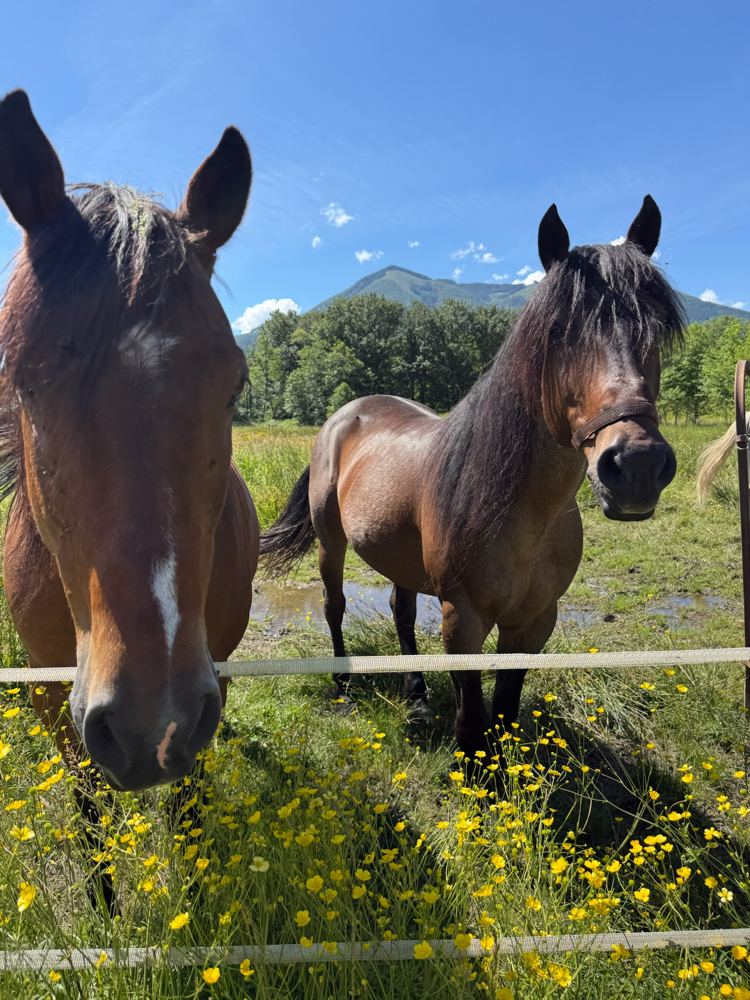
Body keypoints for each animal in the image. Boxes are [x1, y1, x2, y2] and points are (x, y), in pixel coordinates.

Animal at [261, 197, 684, 756]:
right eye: (557, 332)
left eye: (655, 328)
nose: (635, 465)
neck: (525, 515)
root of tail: (343, 415)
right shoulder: (462, 619)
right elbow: (473, 716)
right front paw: (474, 762)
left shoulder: (535, 622)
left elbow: (505, 704)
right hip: (332, 543)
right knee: (335, 606)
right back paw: (343, 685)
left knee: (400, 611)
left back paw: (417, 697)